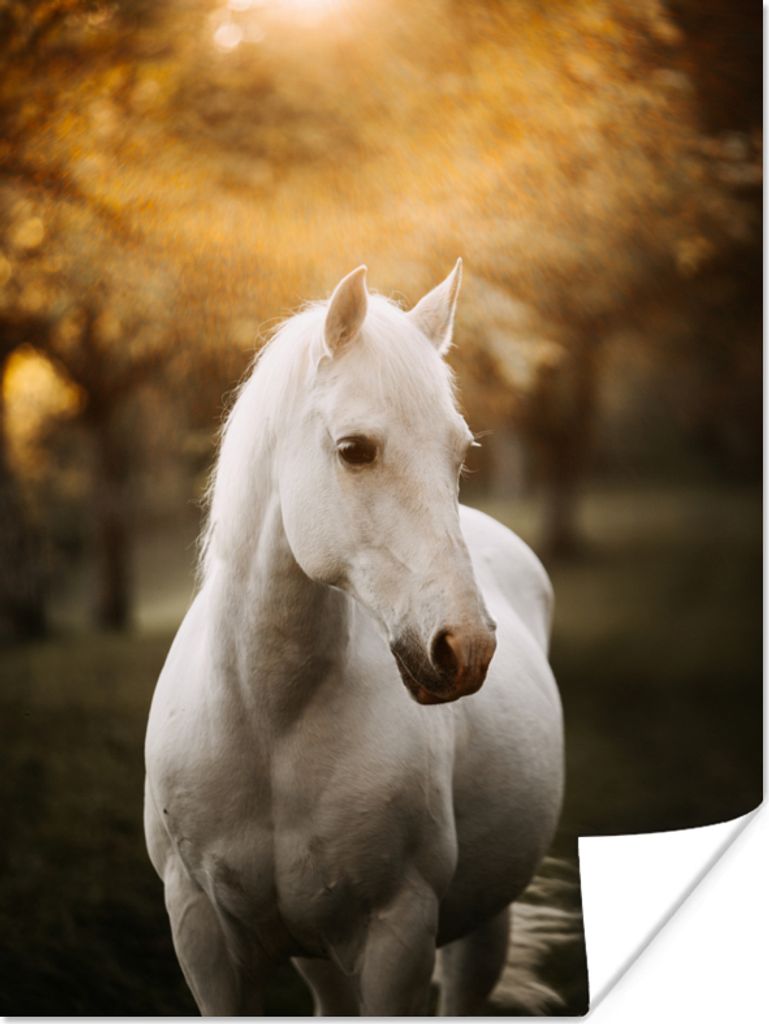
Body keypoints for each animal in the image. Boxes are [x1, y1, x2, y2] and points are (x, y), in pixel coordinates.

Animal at [144, 261, 564, 1016]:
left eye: (459, 452)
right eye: (354, 450)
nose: (466, 648)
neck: (269, 720)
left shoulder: (398, 935)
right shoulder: (201, 934)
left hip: (480, 927)